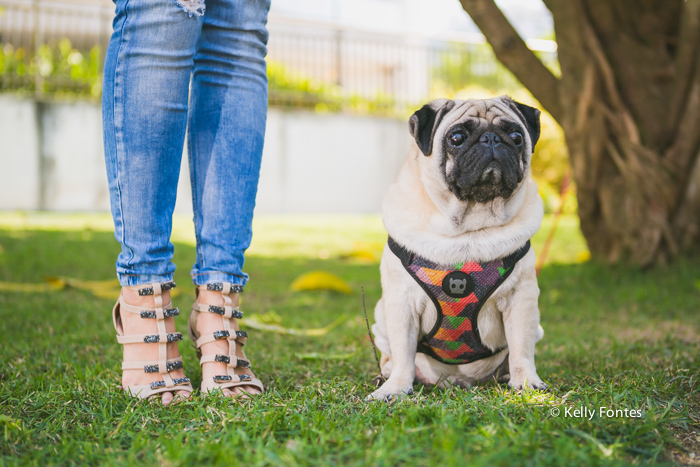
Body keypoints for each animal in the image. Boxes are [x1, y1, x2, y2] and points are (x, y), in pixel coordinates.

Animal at [372, 97, 548, 400]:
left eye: (516, 137)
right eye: (456, 138)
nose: (491, 139)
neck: (468, 230)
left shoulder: (521, 300)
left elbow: (521, 350)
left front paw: (526, 383)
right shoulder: (400, 303)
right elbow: (404, 353)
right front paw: (395, 388)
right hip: (379, 318)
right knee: (391, 354)